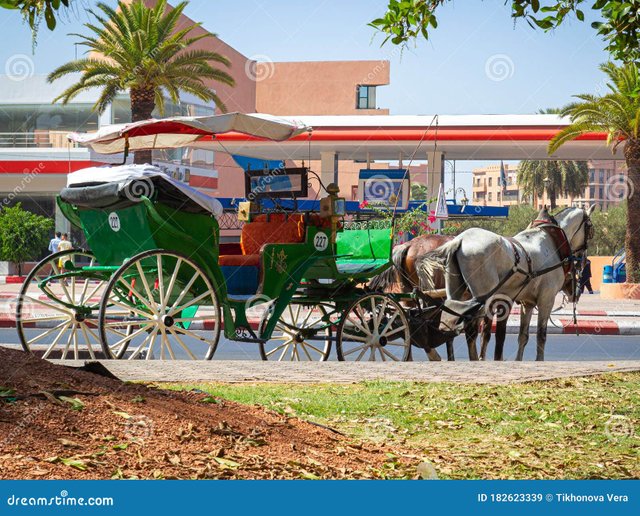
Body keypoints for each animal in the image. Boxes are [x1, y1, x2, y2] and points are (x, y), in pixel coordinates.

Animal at [420, 207, 596, 362]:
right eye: (590, 227)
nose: (583, 259)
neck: (552, 242)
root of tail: (460, 239)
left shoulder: (527, 303)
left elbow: (523, 336)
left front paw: (518, 360)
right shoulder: (546, 299)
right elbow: (541, 335)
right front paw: (539, 360)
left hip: (456, 292)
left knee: (450, 318)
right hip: (481, 297)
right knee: (470, 330)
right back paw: (473, 358)